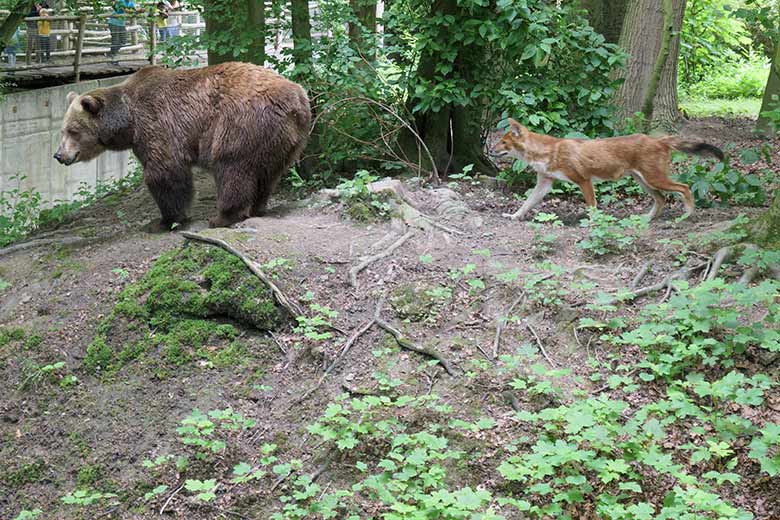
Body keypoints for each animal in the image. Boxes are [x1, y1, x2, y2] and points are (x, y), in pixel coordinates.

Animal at [54, 61, 310, 228]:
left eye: (73, 130)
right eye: (62, 130)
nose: (59, 155)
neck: (128, 122)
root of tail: (296, 98)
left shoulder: (157, 124)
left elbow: (165, 172)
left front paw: (166, 220)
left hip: (240, 124)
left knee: (232, 168)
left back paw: (222, 217)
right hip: (283, 139)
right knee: (267, 174)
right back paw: (257, 207)